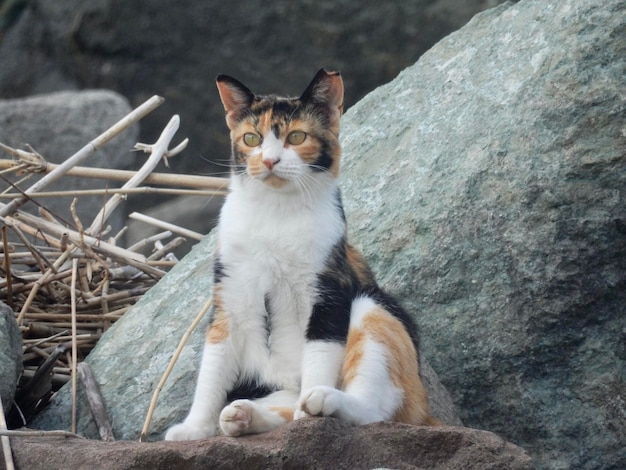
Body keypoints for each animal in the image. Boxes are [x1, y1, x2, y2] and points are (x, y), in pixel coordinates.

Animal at [166, 70, 438, 440]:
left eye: (297, 136)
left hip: (373, 308)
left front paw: (310, 420)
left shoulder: (327, 294)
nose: (269, 160)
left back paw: (321, 403)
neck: (276, 214)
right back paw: (242, 415)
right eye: (251, 138)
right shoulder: (229, 297)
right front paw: (194, 429)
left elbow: (320, 354)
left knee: (373, 410)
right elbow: (212, 367)